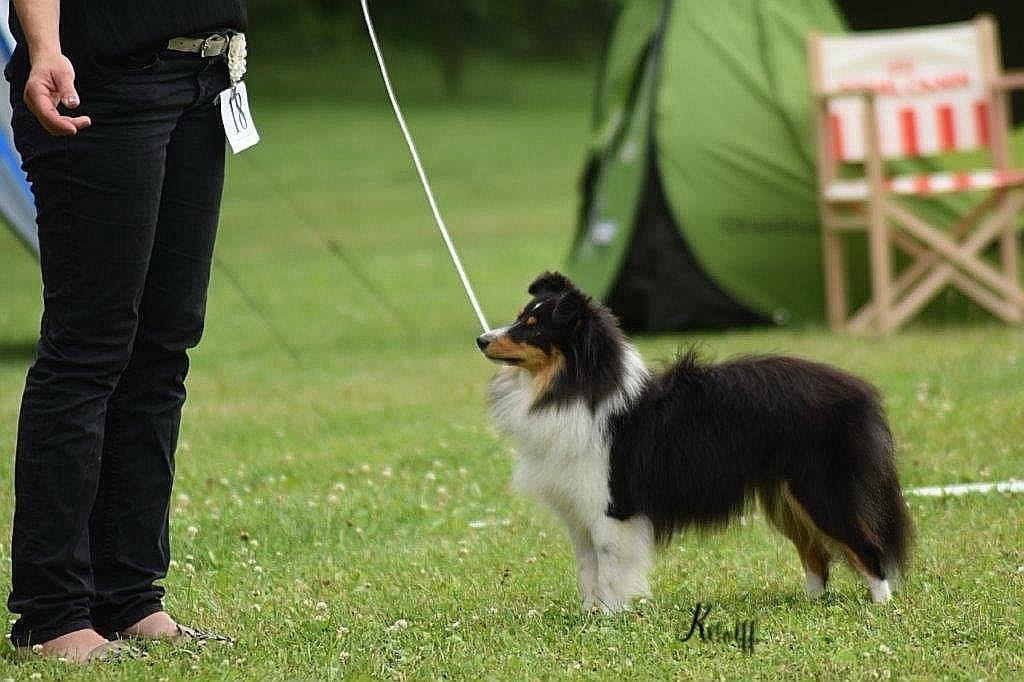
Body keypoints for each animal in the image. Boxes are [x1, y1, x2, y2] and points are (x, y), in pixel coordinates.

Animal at [478, 271, 912, 612]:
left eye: (533, 325)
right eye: (520, 317)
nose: (482, 339)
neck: (576, 386)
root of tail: (860, 391)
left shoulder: (611, 507)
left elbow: (610, 568)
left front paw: (610, 617)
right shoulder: (579, 511)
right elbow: (588, 570)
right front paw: (589, 614)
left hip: (821, 491)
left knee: (867, 547)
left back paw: (882, 603)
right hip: (787, 498)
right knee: (816, 555)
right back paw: (810, 602)